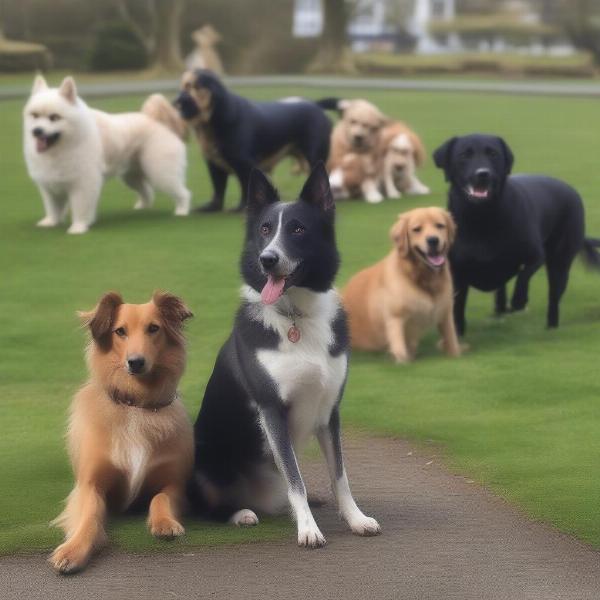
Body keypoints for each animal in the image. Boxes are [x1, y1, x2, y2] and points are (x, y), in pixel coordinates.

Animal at [51, 292, 195, 576]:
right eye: (120, 331)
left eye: (154, 328)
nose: (136, 362)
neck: (136, 405)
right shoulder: (90, 485)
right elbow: (89, 517)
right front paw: (73, 550)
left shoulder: (174, 483)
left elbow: (160, 497)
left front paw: (164, 523)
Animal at [173, 70, 332, 213]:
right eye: (182, 87)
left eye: (193, 87)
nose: (176, 102)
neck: (211, 122)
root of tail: (316, 105)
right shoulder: (214, 165)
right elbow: (218, 188)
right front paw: (212, 207)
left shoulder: (244, 163)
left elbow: (245, 186)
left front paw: (241, 207)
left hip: (314, 155)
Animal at [190, 162, 382, 548]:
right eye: (265, 229)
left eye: (298, 229)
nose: (267, 260)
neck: (296, 317)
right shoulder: (271, 410)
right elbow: (296, 480)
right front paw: (308, 528)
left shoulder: (330, 410)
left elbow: (339, 474)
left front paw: (355, 518)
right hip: (202, 459)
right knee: (204, 507)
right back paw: (241, 513)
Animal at [342, 209, 460, 364]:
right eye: (416, 229)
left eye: (440, 225)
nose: (433, 240)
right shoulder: (394, 317)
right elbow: (400, 350)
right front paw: (402, 362)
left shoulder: (445, 312)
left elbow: (451, 340)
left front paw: (455, 354)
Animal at [434, 133, 596, 336]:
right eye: (464, 154)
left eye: (493, 154)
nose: (483, 174)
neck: (481, 218)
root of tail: (570, 189)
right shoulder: (457, 273)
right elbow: (457, 309)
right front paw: (458, 334)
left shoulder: (536, 255)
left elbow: (524, 275)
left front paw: (519, 300)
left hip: (560, 263)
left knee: (553, 297)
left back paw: (550, 326)